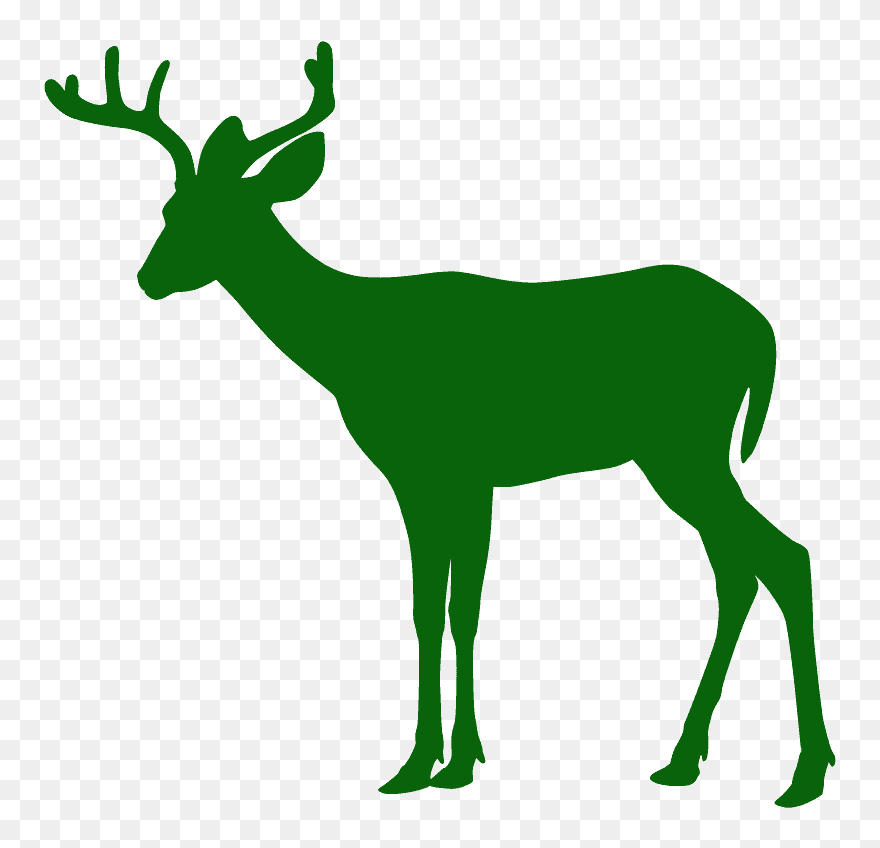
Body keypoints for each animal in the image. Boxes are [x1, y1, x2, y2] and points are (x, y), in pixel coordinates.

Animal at [43, 42, 836, 807]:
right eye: (171, 208)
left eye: (224, 214)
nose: (149, 276)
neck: (359, 348)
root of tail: (761, 330)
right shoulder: (436, 479)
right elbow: (437, 609)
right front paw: (436, 760)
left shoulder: (452, 469)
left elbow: (454, 609)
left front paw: (444, 762)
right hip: (681, 454)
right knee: (741, 568)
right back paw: (686, 759)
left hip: (683, 444)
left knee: (781, 557)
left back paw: (805, 772)